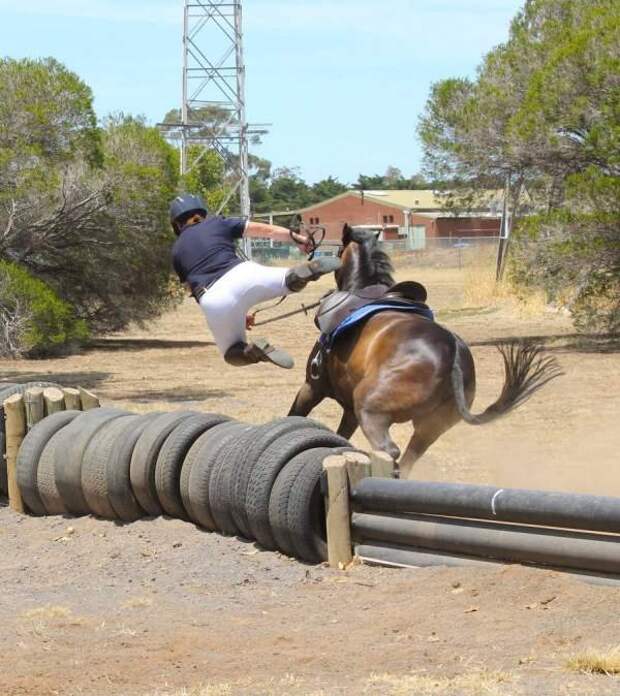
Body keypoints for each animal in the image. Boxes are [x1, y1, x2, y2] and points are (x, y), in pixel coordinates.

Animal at [288, 226, 564, 482]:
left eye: (337, 252)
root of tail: (453, 353)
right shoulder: (349, 411)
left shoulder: (312, 388)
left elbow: (295, 415)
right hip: (429, 429)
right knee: (407, 461)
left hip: (371, 410)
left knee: (390, 451)